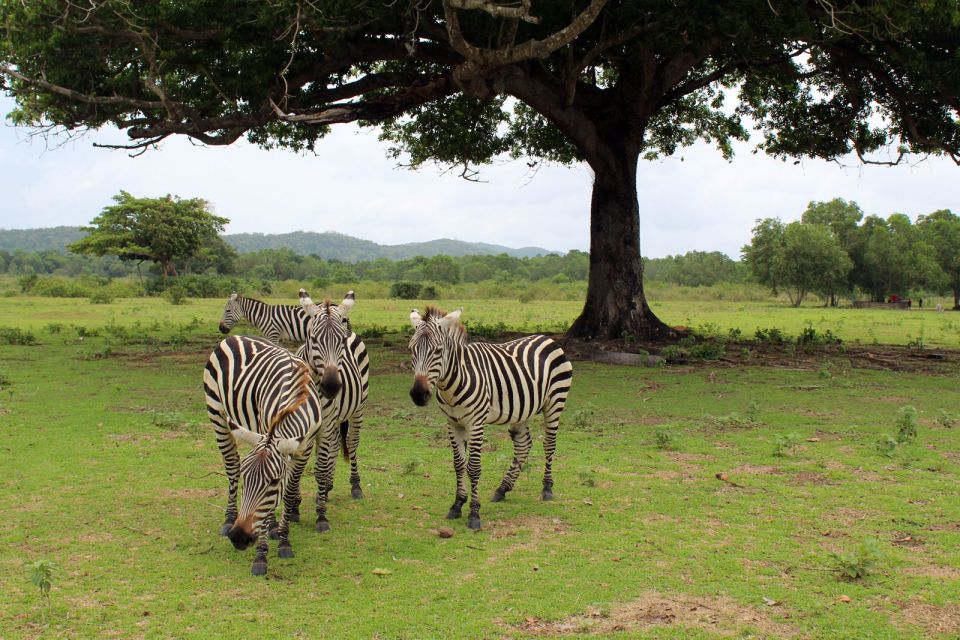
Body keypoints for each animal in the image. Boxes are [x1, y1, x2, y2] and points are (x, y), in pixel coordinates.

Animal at [201, 336, 324, 576]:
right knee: (231, 465)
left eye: (274, 481)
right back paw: (229, 519)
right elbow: (265, 512)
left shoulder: (303, 449)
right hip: (217, 414)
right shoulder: (263, 429)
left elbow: (289, 492)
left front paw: (284, 540)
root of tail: (235, 336)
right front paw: (261, 555)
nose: (239, 538)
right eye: (246, 479)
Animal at [296, 288, 368, 532]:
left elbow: (319, 467)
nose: (332, 386)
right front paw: (294, 505)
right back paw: (327, 488)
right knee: (335, 444)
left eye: (341, 341)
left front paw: (321, 517)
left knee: (351, 443)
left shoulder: (326, 423)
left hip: (357, 410)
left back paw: (355, 486)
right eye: (313, 339)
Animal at [408, 304, 572, 528]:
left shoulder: (476, 423)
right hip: (522, 410)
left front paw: (474, 514)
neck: (453, 382)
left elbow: (474, 468)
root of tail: (547, 338)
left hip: (555, 401)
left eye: (438, 351)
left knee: (549, 444)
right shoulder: (453, 423)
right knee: (523, 445)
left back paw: (547, 488)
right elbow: (458, 464)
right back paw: (502, 489)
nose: (418, 395)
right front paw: (457, 505)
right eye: (411, 349)